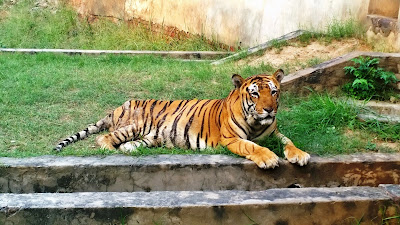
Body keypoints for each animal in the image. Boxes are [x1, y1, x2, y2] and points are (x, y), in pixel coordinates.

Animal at [54, 69, 310, 168]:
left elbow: (290, 142)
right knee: (104, 139)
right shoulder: (231, 139)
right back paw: (110, 151)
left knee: (129, 144)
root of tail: (118, 106)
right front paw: (269, 158)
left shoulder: (275, 133)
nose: (268, 110)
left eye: (274, 91)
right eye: (255, 93)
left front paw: (300, 155)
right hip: (133, 126)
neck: (257, 124)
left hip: (151, 137)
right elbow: (253, 146)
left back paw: (129, 150)